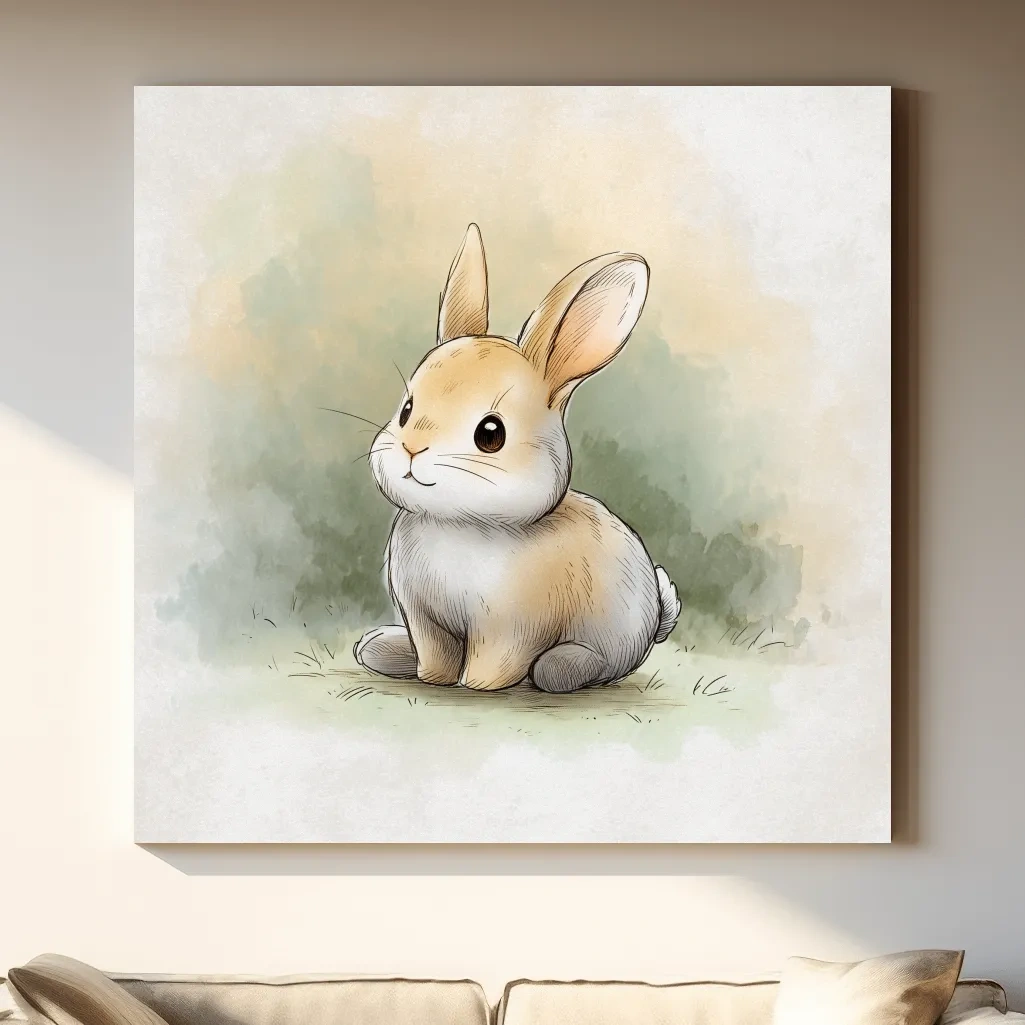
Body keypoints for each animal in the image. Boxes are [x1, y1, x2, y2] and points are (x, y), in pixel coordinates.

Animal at [354, 223, 681, 693]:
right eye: (406, 410)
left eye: (491, 434)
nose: (412, 449)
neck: (462, 525)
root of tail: (655, 619)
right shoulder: (427, 621)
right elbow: (435, 655)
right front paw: (434, 678)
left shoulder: (511, 629)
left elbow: (495, 661)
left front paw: (477, 685)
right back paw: (380, 648)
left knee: (596, 668)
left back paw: (560, 669)